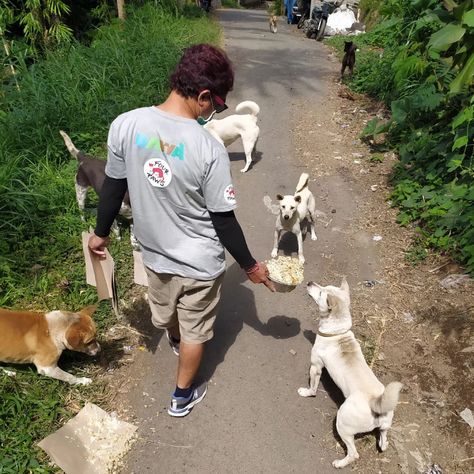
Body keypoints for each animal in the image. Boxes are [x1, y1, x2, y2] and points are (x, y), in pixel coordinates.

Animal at [298, 280, 402, 468]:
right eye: (323, 286)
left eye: (321, 293)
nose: (309, 282)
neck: (337, 331)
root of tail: (377, 403)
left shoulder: (315, 366)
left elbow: (312, 387)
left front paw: (306, 392)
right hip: (385, 423)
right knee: (383, 437)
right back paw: (383, 444)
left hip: (342, 423)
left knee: (354, 453)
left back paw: (340, 463)